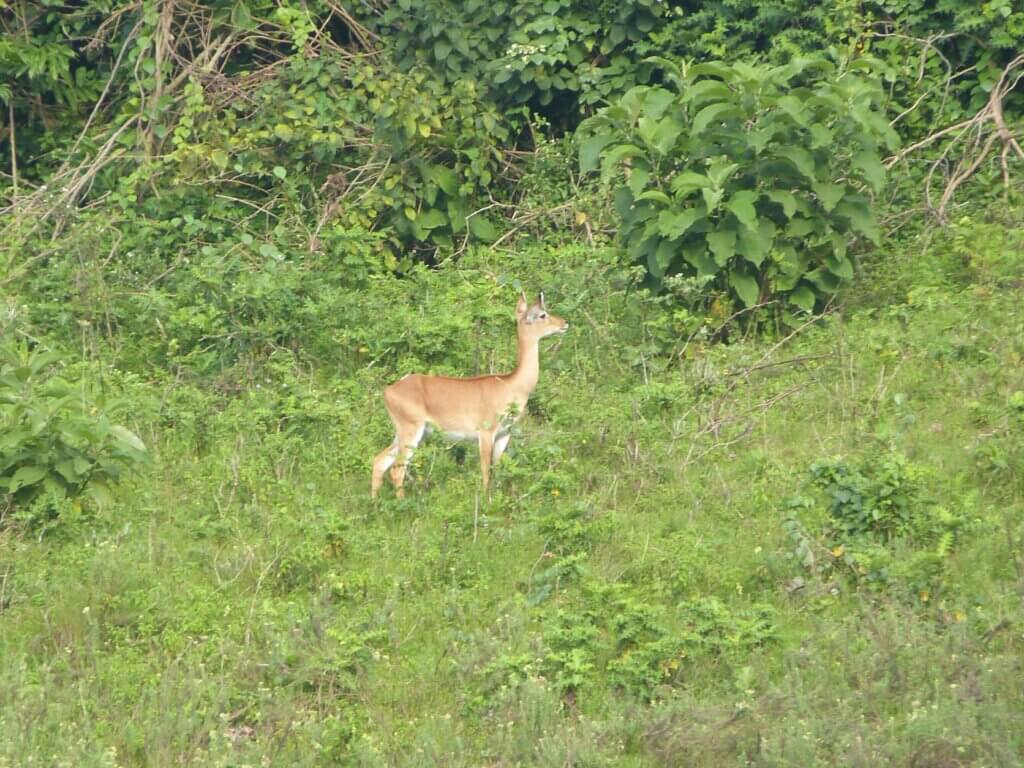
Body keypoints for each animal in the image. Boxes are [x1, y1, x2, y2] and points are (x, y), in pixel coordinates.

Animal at [371, 292, 568, 499]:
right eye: (542, 315)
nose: (564, 323)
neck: (511, 386)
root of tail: (389, 390)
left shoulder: (504, 434)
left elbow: (496, 470)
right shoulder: (486, 431)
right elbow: (485, 473)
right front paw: (487, 501)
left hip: (410, 432)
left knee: (379, 461)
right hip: (411, 429)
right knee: (397, 469)